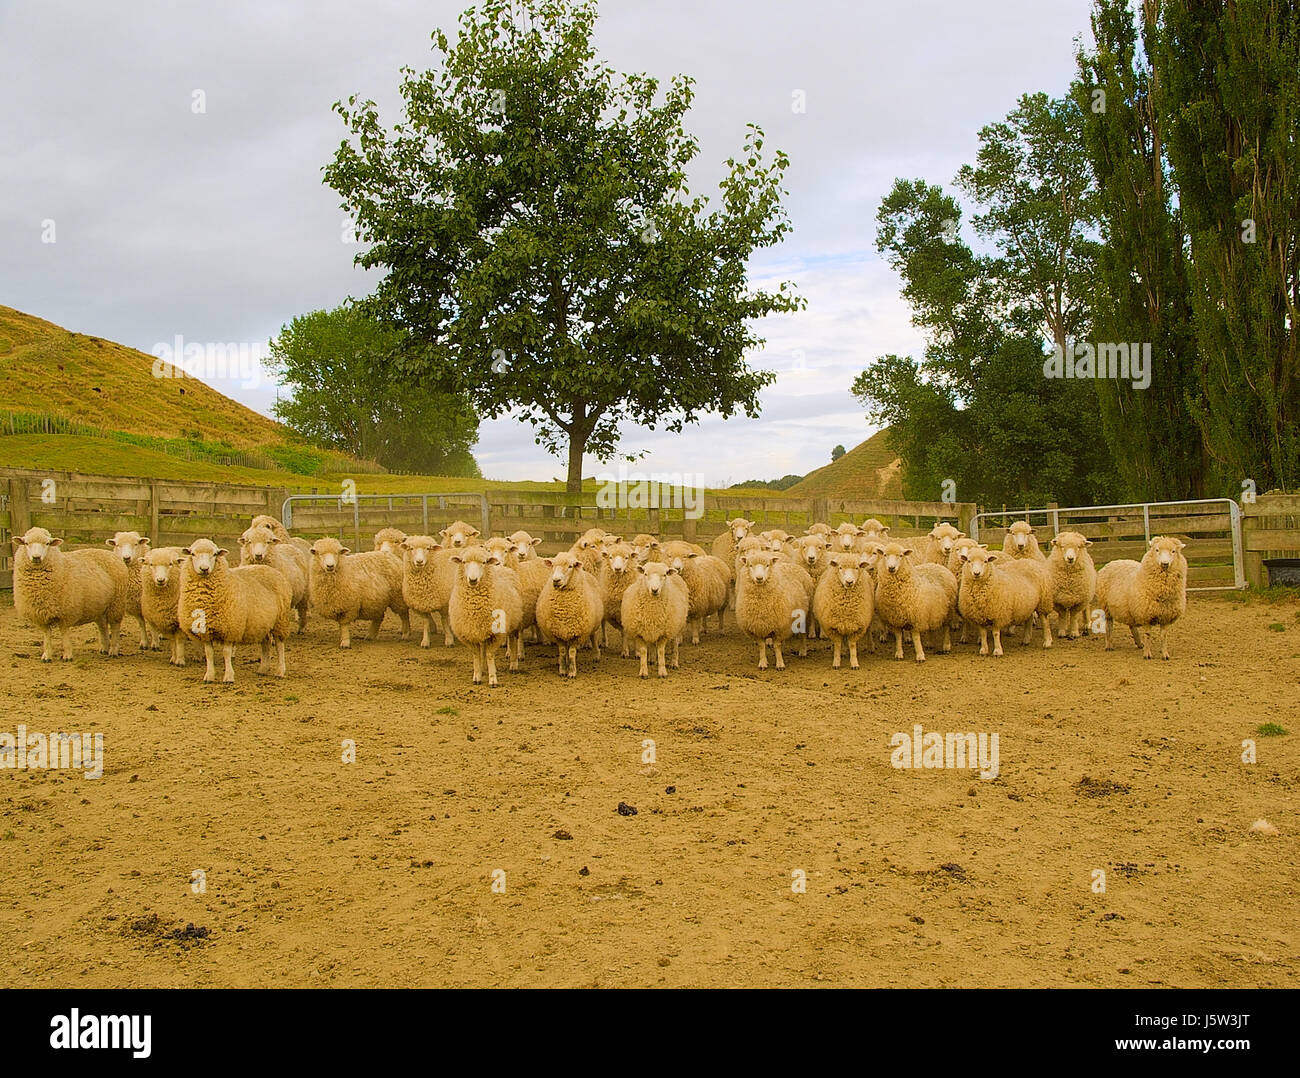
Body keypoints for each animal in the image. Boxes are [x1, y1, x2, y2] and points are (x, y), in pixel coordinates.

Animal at [12, 525, 128, 660]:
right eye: (26, 543)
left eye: (47, 543)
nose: (36, 557)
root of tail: (110, 553)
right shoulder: (41, 614)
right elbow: (47, 635)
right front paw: (47, 655)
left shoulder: (66, 612)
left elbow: (64, 633)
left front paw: (67, 655)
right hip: (99, 606)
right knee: (103, 626)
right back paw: (104, 647)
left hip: (117, 602)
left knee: (115, 626)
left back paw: (113, 650)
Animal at [175, 538, 289, 681]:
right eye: (192, 554)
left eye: (215, 554)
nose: (204, 569)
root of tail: (272, 570)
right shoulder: (206, 631)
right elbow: (209, 653)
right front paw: (209, 676)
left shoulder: (230, 628)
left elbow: (226, 653)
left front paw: (228, 676)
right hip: (262, 623)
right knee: (266, 643)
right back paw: (263, 669)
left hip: (280, 620)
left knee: (280, 645)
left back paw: (280, 671)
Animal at [452, 543, 522, 686]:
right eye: (463, 562)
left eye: (484, 562)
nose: (473, 580)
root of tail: (501, 567)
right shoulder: (468, 633)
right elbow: (476, 654)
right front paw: (477, 675)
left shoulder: (496, 633)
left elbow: (490, 654)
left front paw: (493, 679)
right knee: (483, 646)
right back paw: (483, 667)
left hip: (513, 622)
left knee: (513, 640)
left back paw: (513, 664)